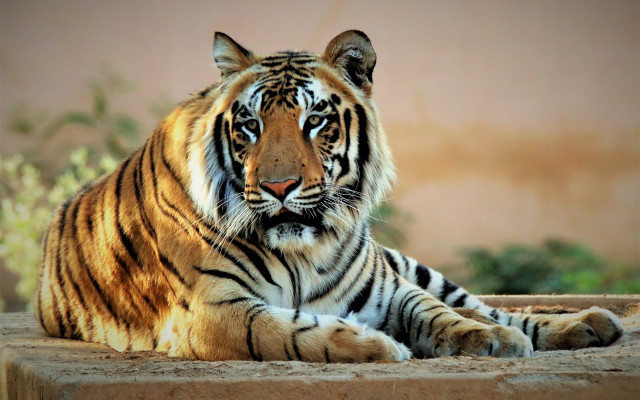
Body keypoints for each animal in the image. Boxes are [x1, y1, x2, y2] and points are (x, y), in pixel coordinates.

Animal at [34, 30, 623, 362]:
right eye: (249, 126)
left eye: (314, 120)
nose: (279, 187)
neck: (303, 249)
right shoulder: (213, 309)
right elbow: (293, 332)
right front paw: (381, 346)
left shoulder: (389, 289)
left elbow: (440, 313)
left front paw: (488, 340)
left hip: (406, 264)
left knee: (490, 307)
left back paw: (587, 324)